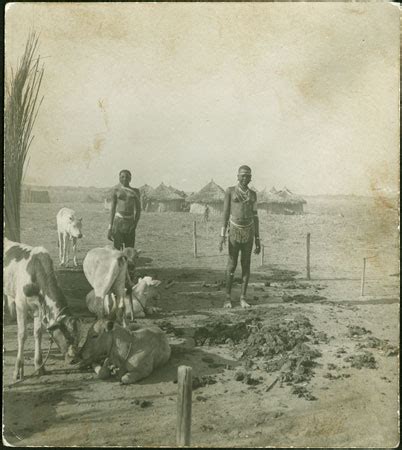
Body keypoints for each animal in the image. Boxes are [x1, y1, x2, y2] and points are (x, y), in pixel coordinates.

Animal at [3, 237, 80, 382]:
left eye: (78, 338)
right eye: (67, 339)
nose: (74, 360)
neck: (35, 270)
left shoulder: (39, 308)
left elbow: (37, 333)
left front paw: (39, 365)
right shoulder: (20, 305)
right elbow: (22, 335)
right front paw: (18, 368)